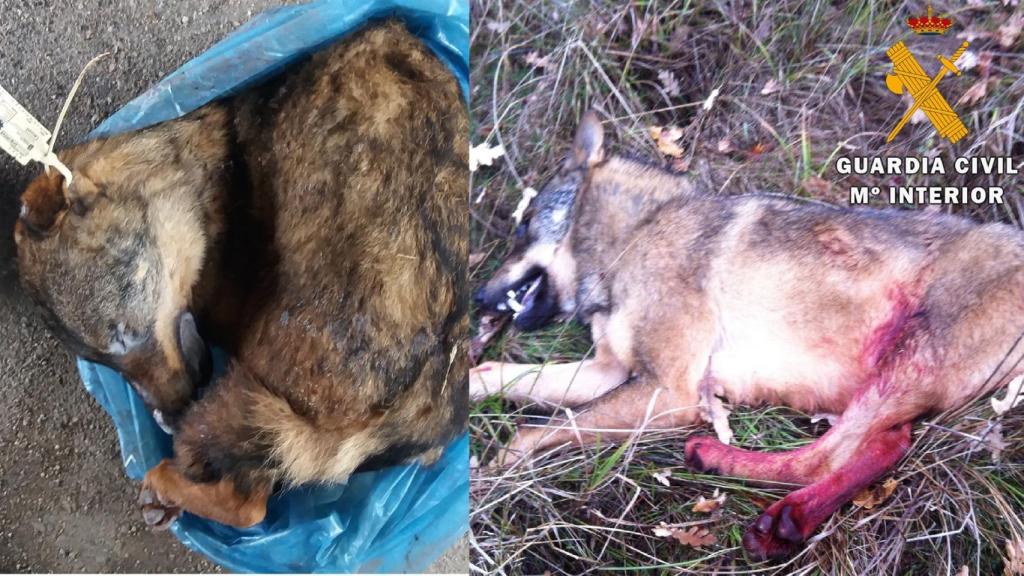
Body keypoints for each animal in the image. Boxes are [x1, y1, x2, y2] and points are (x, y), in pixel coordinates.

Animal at [15, 21, 468, 528]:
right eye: (103, 360)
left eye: (123, 335)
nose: (170, 414)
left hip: (251, 394)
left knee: (246, 504)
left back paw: (164, 483)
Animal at [472, 111, 1024, 560]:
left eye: (523, 225)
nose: (477, 298)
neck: (636, 235)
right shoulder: (609, 370)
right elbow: (504, 376)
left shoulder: (669, 393)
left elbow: (533, 431)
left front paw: (483, 478)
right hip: (891, 388)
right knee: (882, 448)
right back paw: (784, 522)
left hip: (911, 360)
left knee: (823, 458)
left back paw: (721, 464)